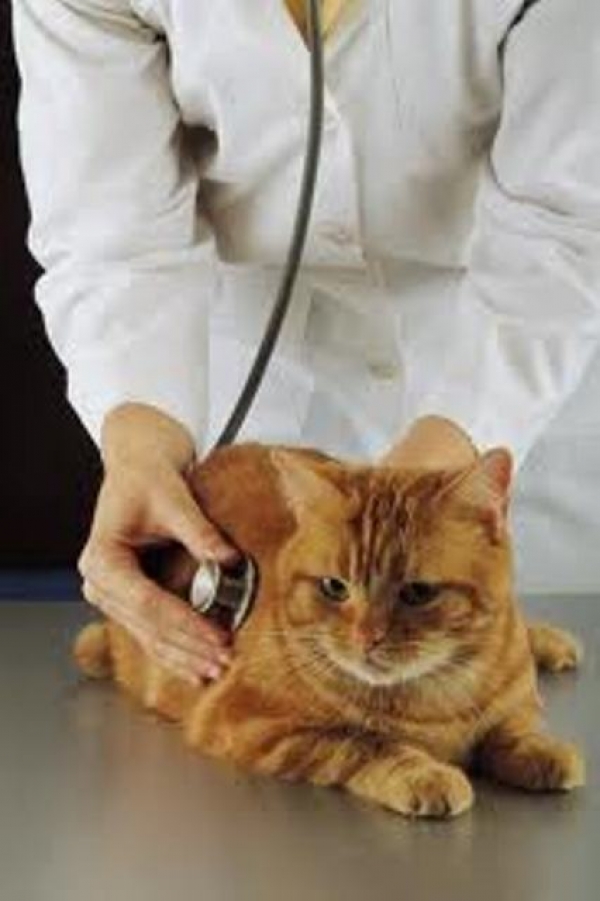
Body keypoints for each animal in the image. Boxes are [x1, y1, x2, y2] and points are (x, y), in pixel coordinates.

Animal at [74, 441, 585, 818]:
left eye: (418, 592)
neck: (437, 695)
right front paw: (424, 772)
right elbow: (364, 744)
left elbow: (513, 728)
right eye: (334, 588)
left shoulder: (517, 700)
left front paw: (542, 750)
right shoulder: (247, 722)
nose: (366, 638)